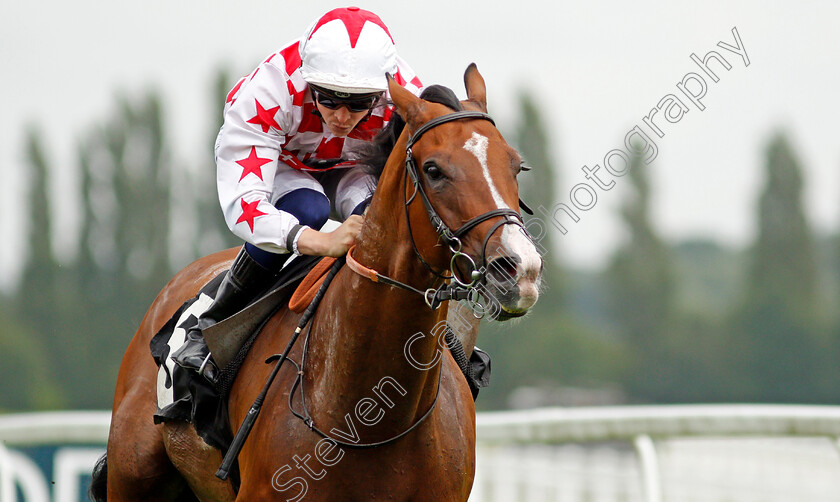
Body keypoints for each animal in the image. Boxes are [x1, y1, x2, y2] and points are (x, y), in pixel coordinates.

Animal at [97, 64, 544, 500]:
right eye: (434, 170)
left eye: (516, 165)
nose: (520, 269)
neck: (368, 417)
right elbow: (250, 201)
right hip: (131, 477)